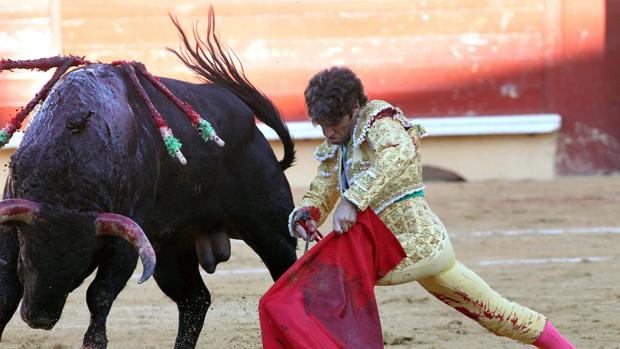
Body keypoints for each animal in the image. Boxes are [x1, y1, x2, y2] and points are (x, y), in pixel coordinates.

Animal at [0, 10, 298, 348]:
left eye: (80, 269)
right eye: (27, 260)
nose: (39, 320)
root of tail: (252, 127)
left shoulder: (125, 243)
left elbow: (99, 294)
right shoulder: (12, 227)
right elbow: (6, 292)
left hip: (271, 226)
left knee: (286, 270)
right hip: (172, 247)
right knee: (195, 300)